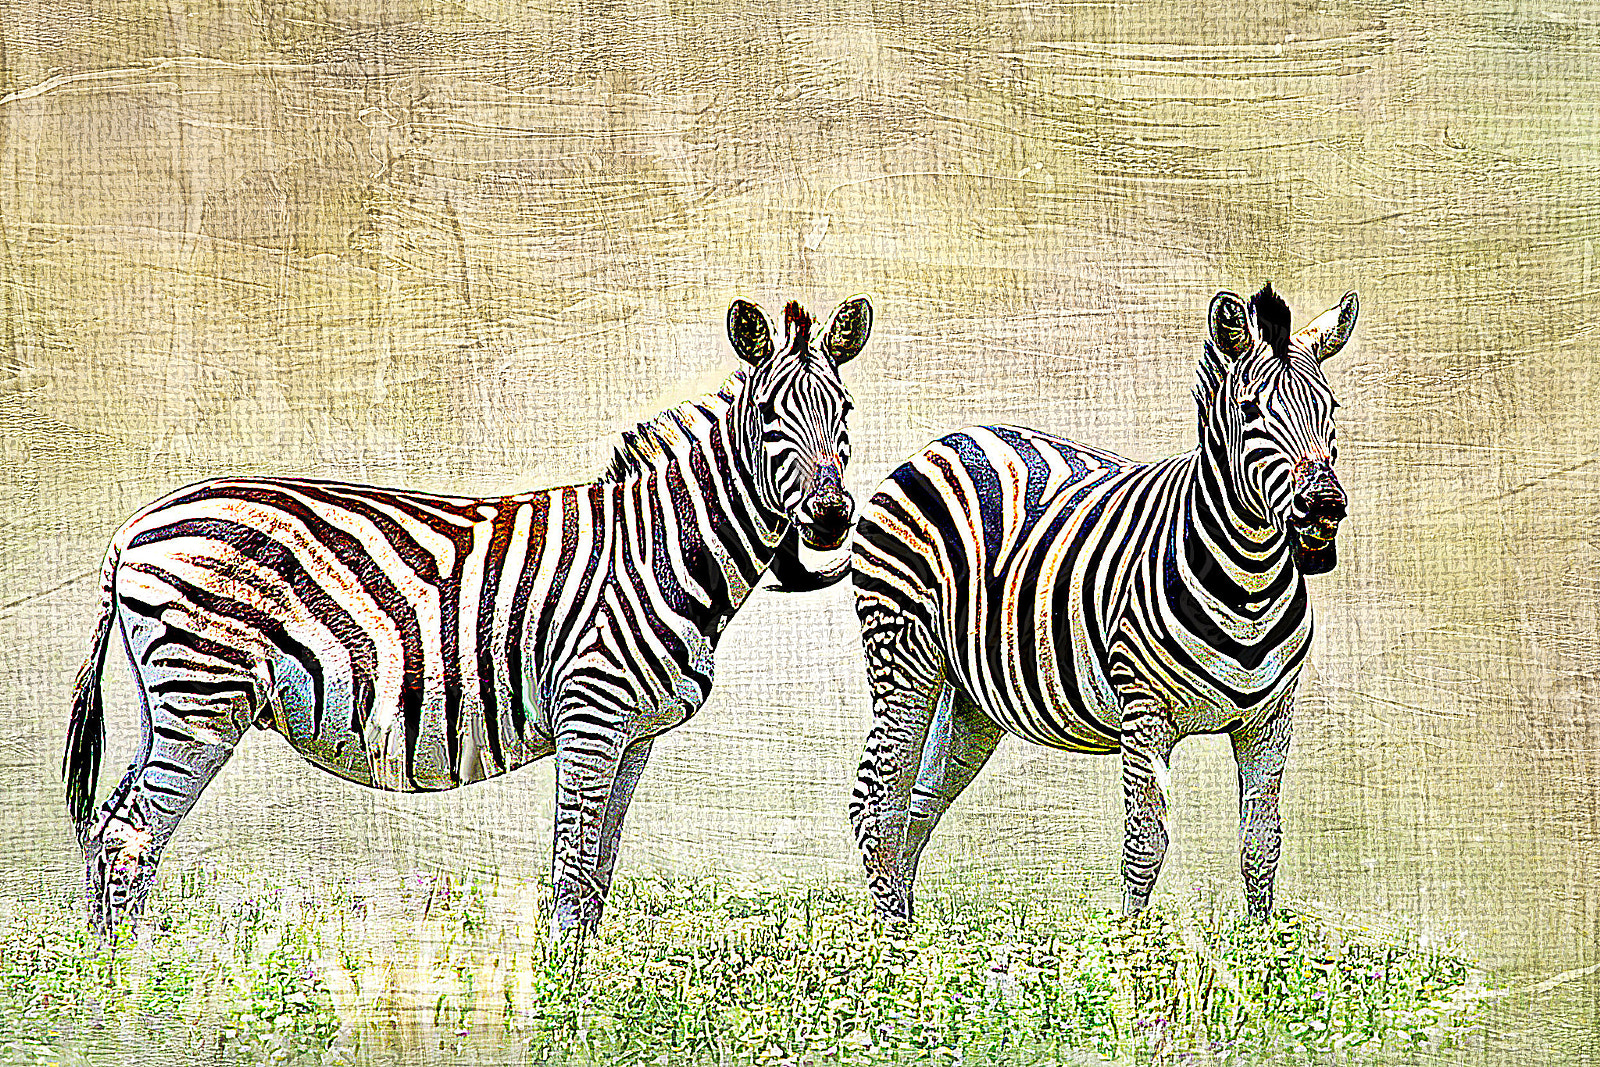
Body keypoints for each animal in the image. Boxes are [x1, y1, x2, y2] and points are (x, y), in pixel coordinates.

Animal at [64, 295, 872, 936]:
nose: (833, 518)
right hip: (203, 693)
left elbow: (600, 873)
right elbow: (573, 866)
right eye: (766, 417)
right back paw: (136, 989)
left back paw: (118, 979)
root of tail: (130, 529)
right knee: (130, 840)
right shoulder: (590, 711)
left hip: (165, 701)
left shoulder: (636, 733)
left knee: (108, 833)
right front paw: (560, 993)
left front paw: (584, 987)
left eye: (846, 413)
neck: (664, 544)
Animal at [847, 284, 1358, 921]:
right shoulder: (1144, 712)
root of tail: (944, 441)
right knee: (876, 796)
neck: (1249, 583)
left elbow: (1262, 842)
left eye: (1330, 411)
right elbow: (1147, 841)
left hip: (969, 696)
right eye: (1252, 414)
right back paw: (888, 937)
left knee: (919, 799)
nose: (1326, 509)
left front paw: (1261, 944)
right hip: (901, 655)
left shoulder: (1272, 720)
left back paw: (914, 929)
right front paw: (1132, 941)